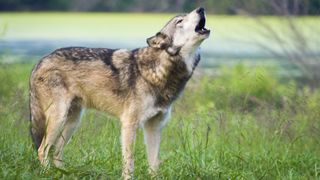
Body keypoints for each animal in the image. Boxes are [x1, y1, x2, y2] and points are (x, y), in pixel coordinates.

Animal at [29, 7, 210, 179]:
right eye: (180, 20)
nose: (201, 8)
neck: (159, 70)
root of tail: (40, 61)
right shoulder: (129, 124)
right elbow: (129, 162)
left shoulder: (154, 127)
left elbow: (154, 164)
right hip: (58, 119)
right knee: (42, 150)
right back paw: (48, 174)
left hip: (73, 122)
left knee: (57, 154)